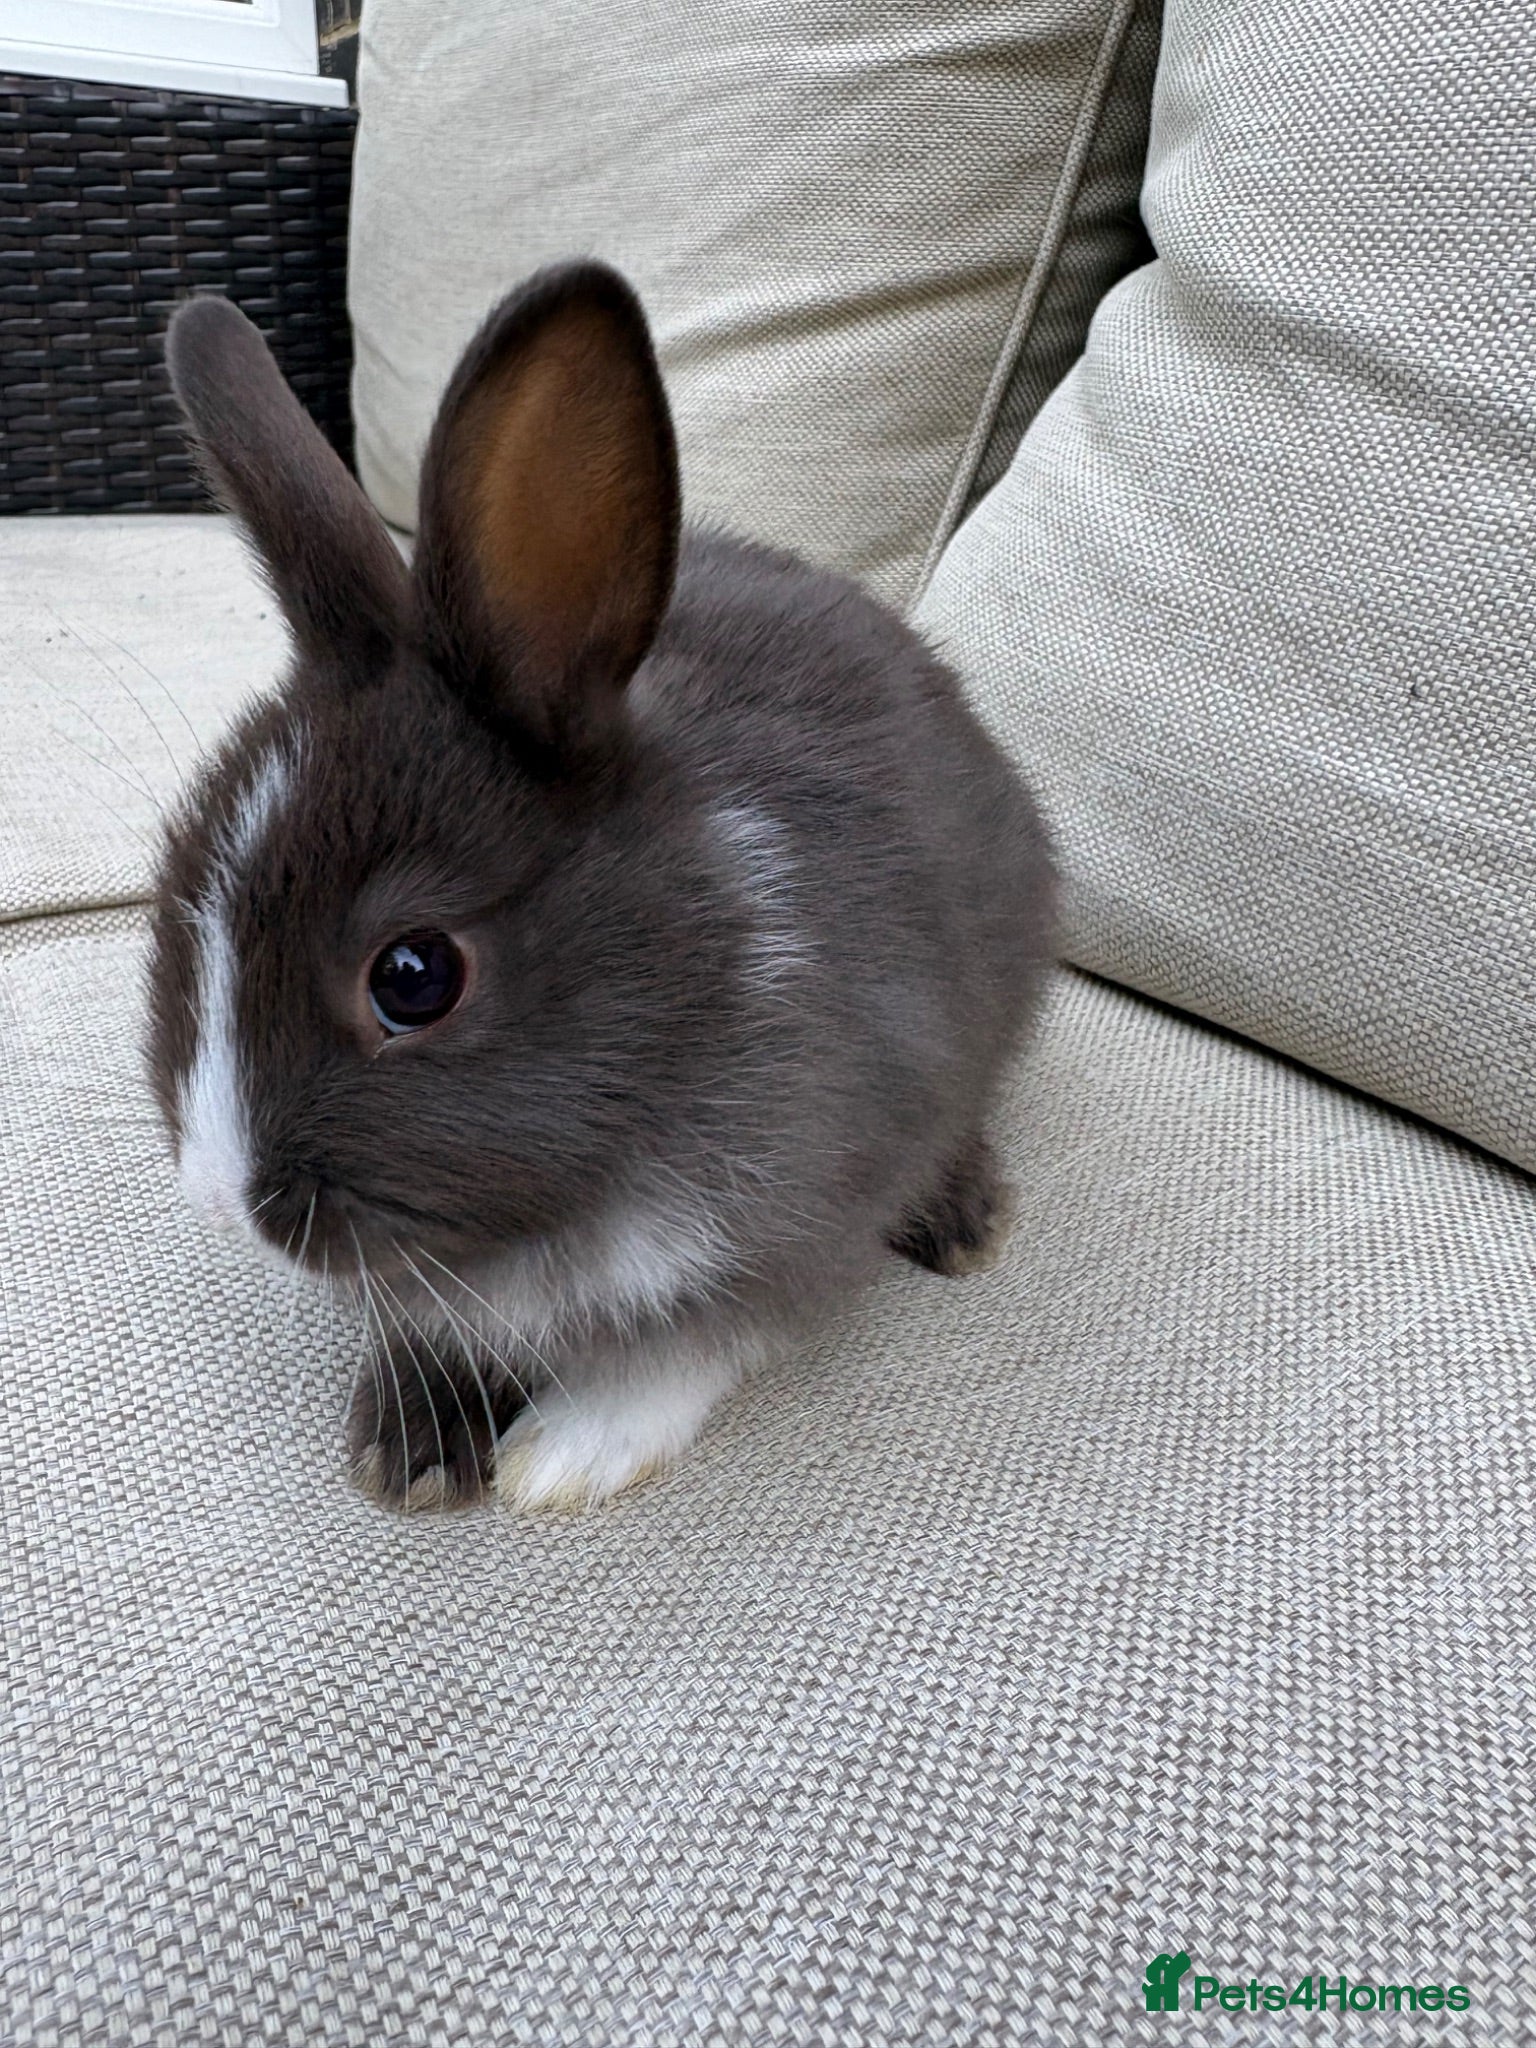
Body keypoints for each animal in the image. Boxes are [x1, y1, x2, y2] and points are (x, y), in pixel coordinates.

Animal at [146, 261, 1056, 1513]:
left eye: (414, 975)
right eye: (175, 889)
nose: (218, 1198)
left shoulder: (806, 1203)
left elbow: (696, 1343)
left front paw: (563, 1454)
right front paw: (413, 1449)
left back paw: (965, 1219)